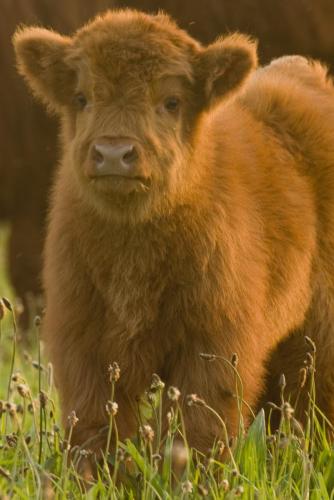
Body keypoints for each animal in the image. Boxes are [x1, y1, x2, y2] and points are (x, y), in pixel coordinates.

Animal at [13, 8, 334, 454]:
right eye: (82, 98)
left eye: (171, 101)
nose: (114, 153)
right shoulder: (83, 340)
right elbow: (94, 426)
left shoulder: (212, 345)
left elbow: (197, 427)